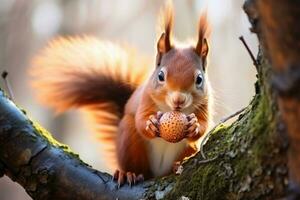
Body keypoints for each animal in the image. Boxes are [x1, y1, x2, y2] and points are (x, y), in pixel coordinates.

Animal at [28, 2, 211, 188]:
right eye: (160, 76)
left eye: (199, 79)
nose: (178, 100)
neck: (172, 109)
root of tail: (156, 174)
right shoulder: (145, 99)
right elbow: (140, 120)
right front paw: (150, 123)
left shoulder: (205, 105)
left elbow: (204, 125)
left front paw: (194, 125)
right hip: (128, 139)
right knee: (138, 164)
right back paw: (129, 174)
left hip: (189, 149)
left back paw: (176, 165)